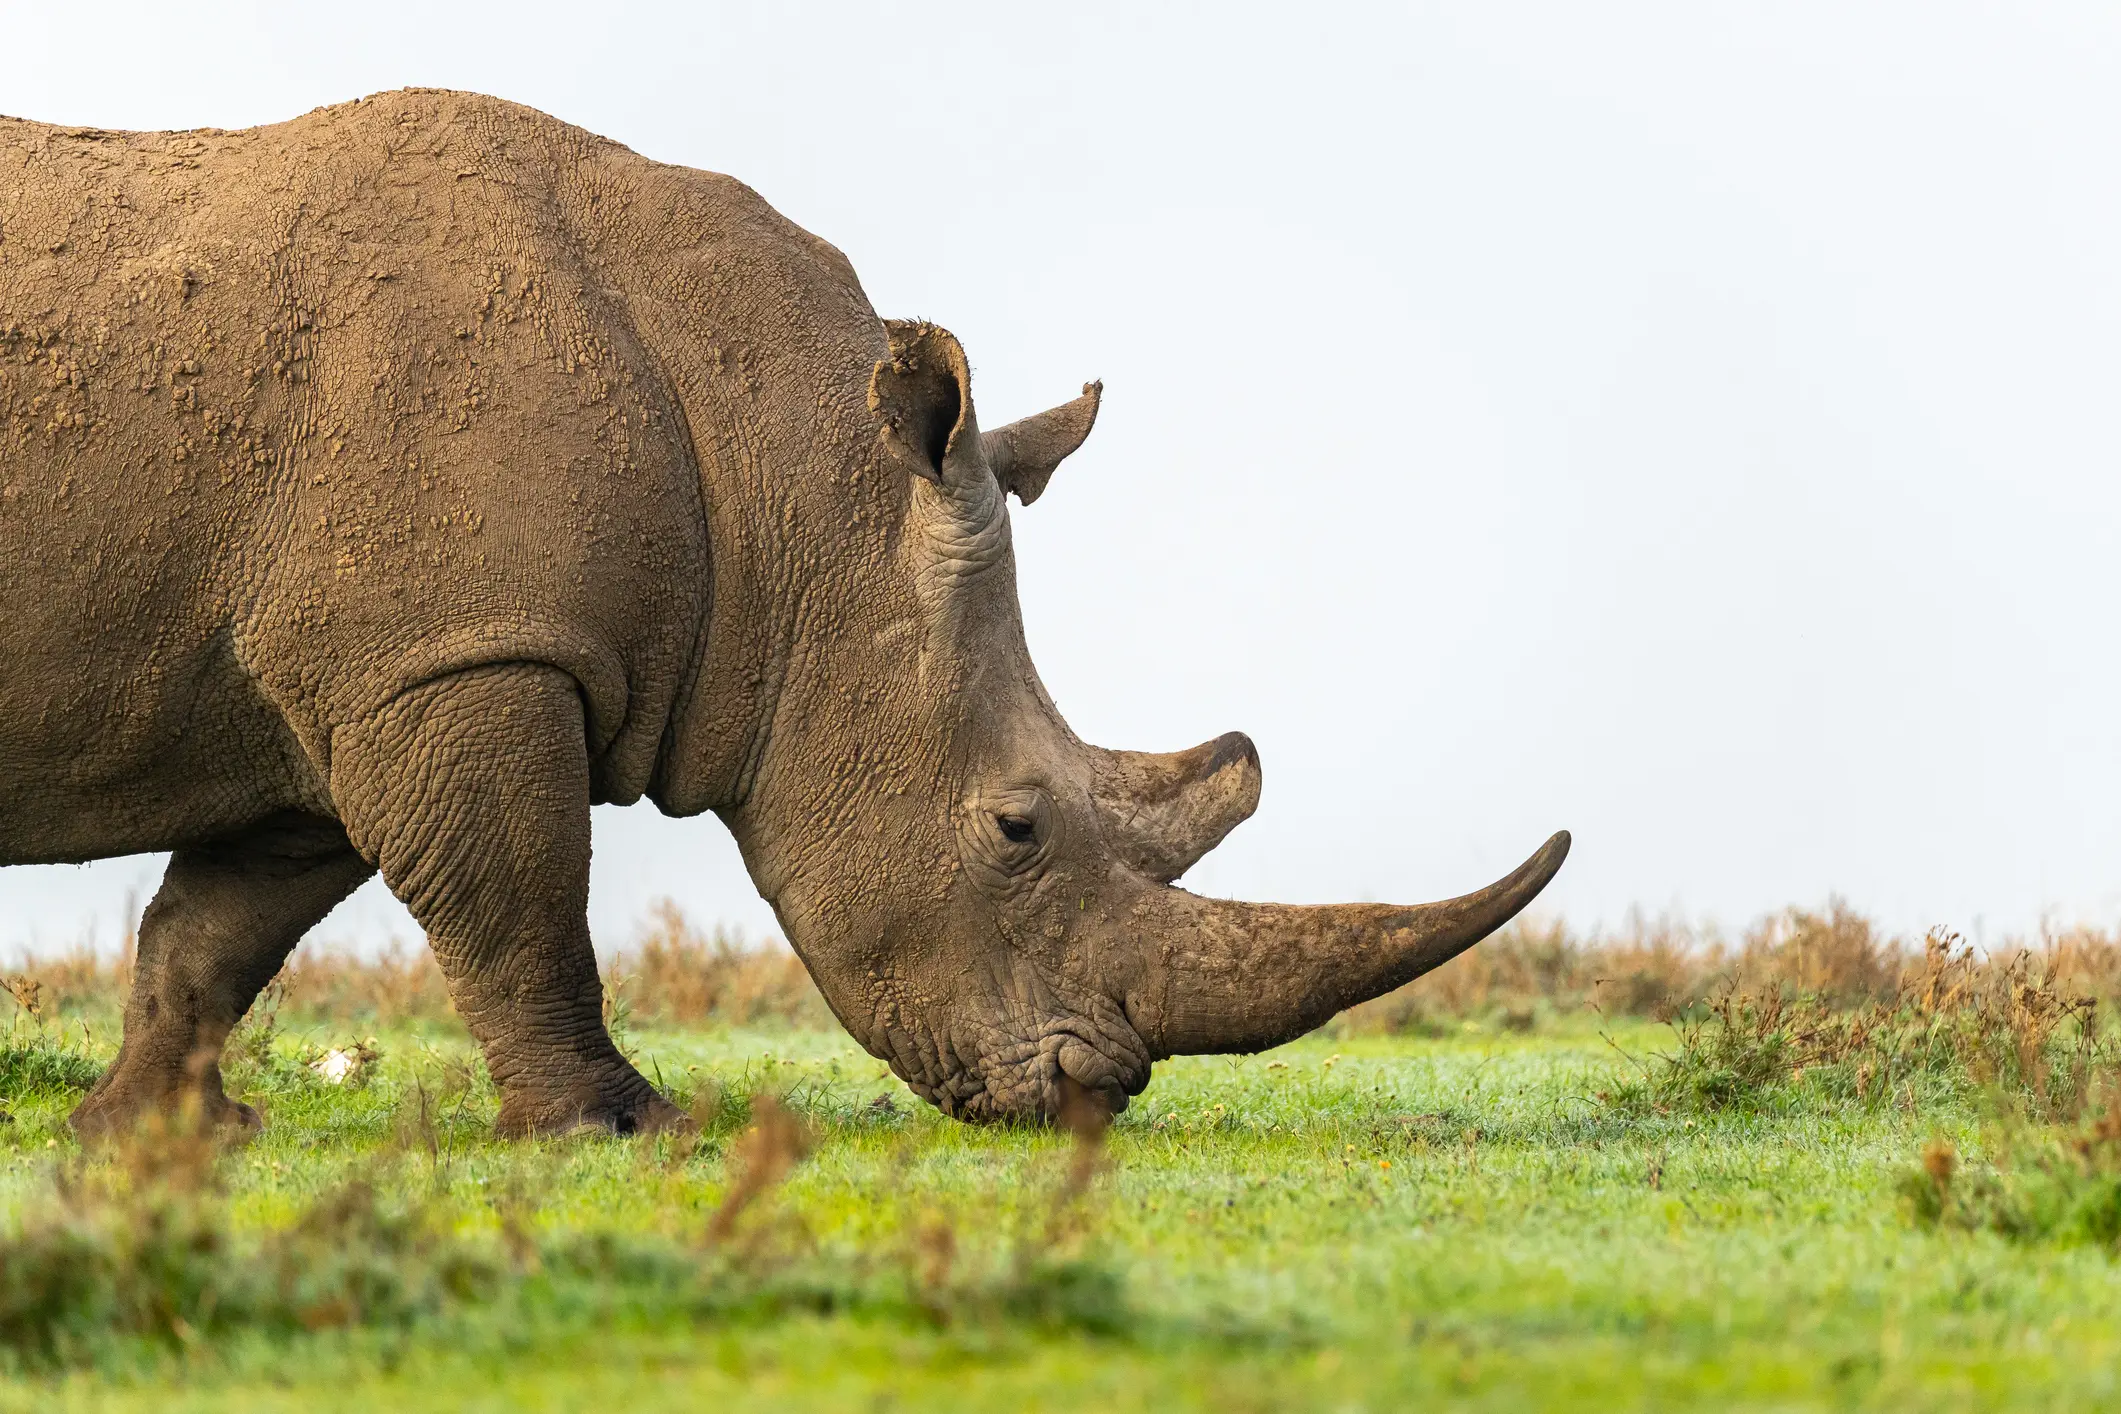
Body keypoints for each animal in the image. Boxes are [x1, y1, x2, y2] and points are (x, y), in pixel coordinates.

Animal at [0, 90, 1568, 1136]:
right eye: (1015, 828)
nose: (1093, 1092)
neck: (789, 487)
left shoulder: (365, 671)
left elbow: (219, 926)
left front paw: (155, 1134)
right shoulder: (459, 654)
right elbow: (519, 895)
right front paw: (623, 1127)